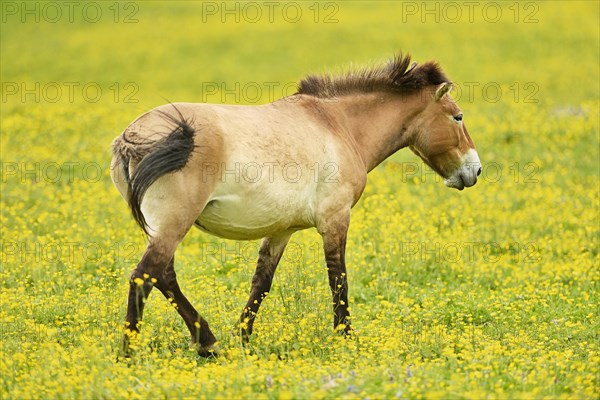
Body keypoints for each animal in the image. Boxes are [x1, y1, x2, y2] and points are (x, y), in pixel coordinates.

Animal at [110, 53, 480, 356]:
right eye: (458, 117)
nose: (474, 170)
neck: (338, 124)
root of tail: (134, 138)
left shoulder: (280, 231)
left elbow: (261, 282)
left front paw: (244, 338)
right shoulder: (335, 219)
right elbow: (338, 279)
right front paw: (346, 337)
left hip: (163, 227)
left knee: (164, 276)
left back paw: (208, 343)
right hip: (174, 223)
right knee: (145, 276)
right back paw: (131, 353)